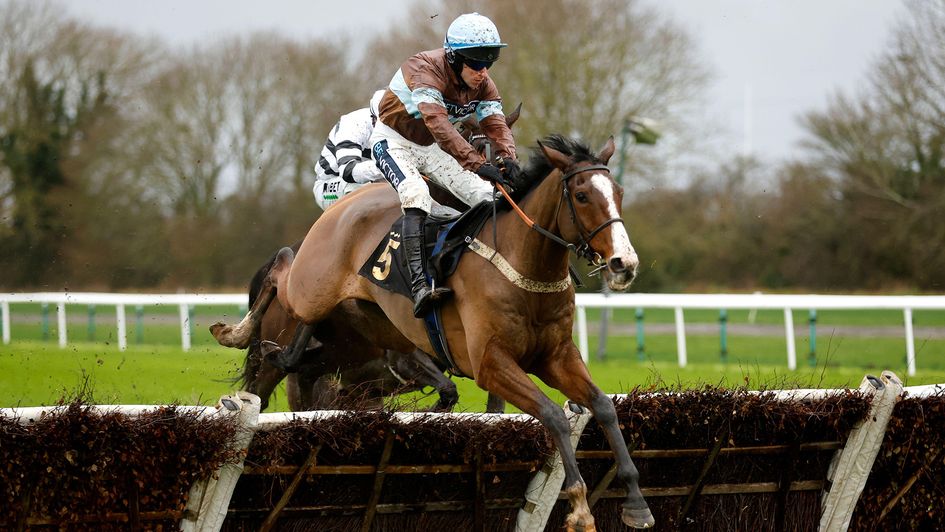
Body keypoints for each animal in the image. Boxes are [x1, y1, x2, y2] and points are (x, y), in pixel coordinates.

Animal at [213, 134, 652, 528]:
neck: (522, 267)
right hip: (310, 290)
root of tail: (348, 203)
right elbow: (553, 415)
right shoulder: (490, 363)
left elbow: (603, 406)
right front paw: (579, 504)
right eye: (581, 195)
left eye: (618, 192)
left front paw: (635, 501)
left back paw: (274, 351)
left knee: (298, 361)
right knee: (281, 273)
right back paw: (235, 331)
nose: (624, 263)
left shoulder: (556, 356)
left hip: (351, 341)